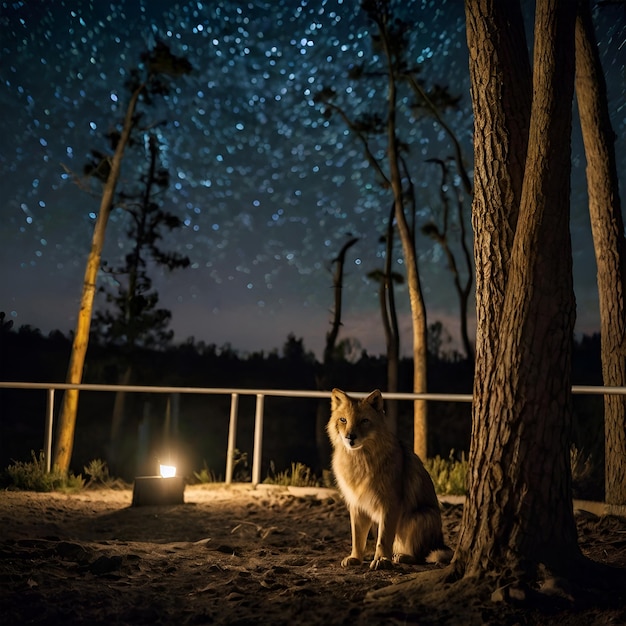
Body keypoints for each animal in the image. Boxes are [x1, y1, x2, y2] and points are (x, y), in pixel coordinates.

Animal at [324, 388, 450, 568]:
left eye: (364, 421)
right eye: (343, 420)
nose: (350, 437)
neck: (360, 461)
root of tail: (441, 542)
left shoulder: (390, 504)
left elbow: (383, 539)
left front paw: (382, 560)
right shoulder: (357, 505)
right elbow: (357, 539)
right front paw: (355, 558)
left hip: (421, 516)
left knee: (423, 556)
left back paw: (402, 557)